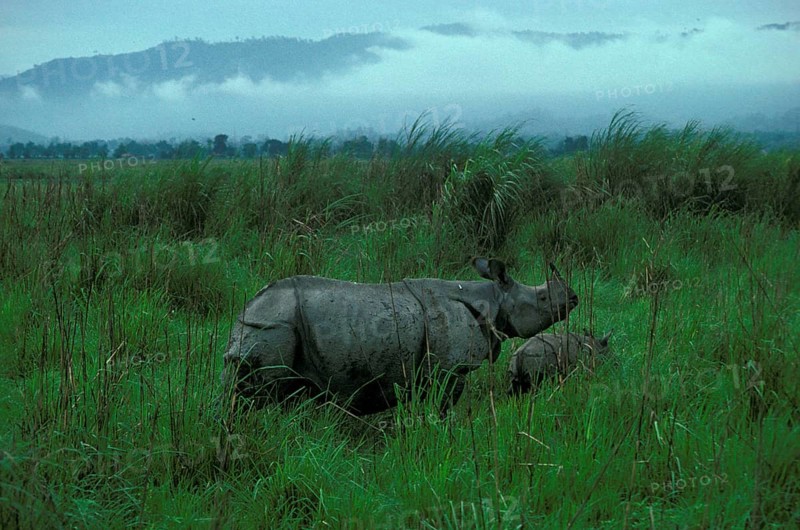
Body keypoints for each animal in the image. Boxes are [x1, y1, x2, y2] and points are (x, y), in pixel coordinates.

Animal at [221, 258, 578, 415]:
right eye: (543, 298)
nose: (574, 298)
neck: (493, 298)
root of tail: (248, 309)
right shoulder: (450, 369)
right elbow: (443, 407)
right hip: (274, 325)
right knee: (261, 392)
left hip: (268, 324)